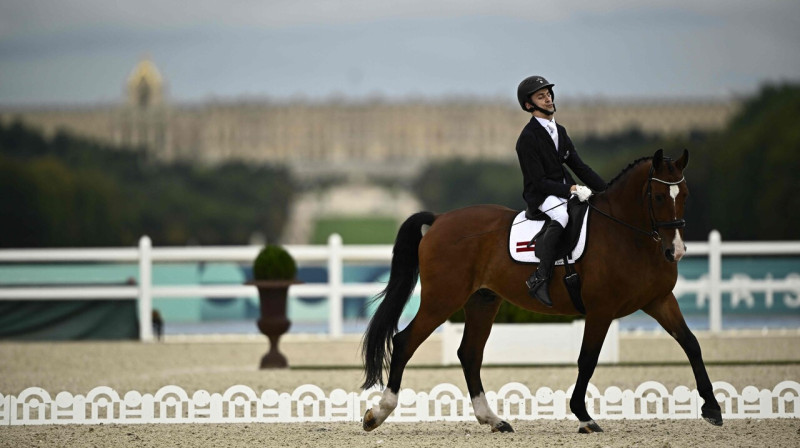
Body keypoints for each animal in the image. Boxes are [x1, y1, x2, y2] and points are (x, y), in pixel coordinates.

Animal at [360, 150, 720, 434]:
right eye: (658, 197)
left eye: (684, 194)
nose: (676, 251)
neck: (628, 235)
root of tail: (438, 220)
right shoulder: (601, 309)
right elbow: (588, 358)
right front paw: (584, 417)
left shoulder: (660, 300)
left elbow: (691, 343)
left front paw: (713, 408)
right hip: (443, 300)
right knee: (404, 341)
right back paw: (377, 414)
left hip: (482, 302)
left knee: (470, 354)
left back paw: (493, 420)